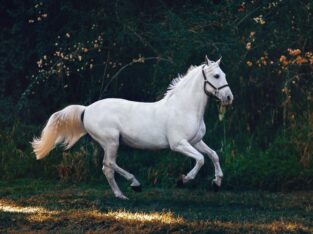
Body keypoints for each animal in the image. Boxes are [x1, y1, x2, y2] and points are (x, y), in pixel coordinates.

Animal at [31, 55, 232, 199]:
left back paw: (121, 194)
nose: (229, 97)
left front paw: (217, 183)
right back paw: (134, 185)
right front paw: (183, 180)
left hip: (109, 143)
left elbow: (213, 155)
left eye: (224, 74)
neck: (184, 108)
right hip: (111, 141)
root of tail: (86, 109)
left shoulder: (196, 141)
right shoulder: (178, 144)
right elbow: (200, 159)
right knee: (109, 164)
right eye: (216, 76)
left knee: (107, 167)